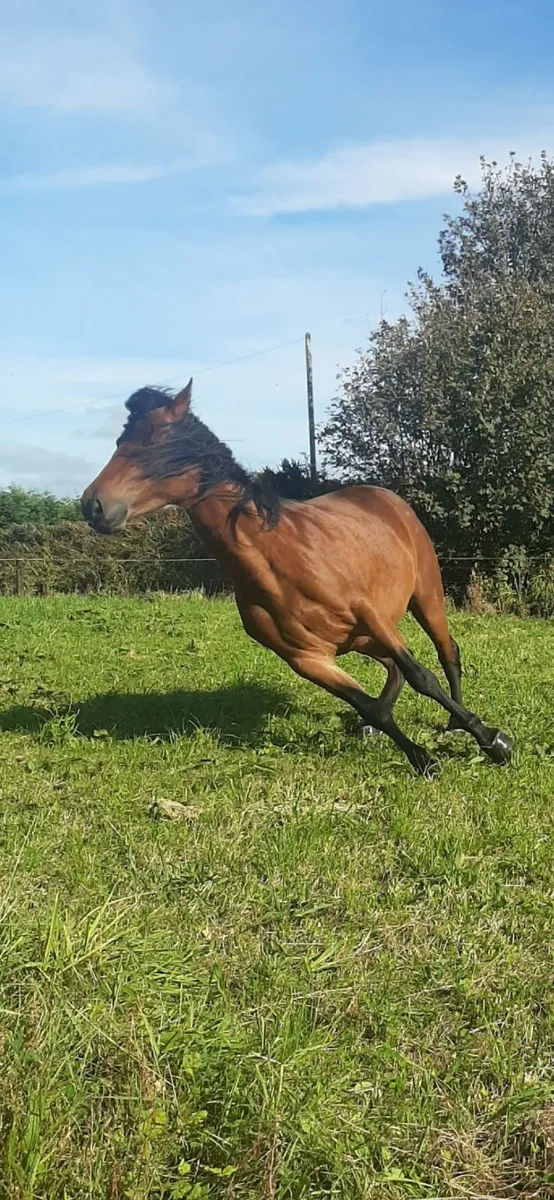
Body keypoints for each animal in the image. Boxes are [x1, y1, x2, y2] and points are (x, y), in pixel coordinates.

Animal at [81, 379, 512, 775]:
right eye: (120, 439)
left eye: (155, 441)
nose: (93, 506)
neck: (279, 560)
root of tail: (386, 497)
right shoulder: (306, 658)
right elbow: (370, 708)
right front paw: (421, 759)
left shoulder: (370, 615)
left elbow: (422, 677)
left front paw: (493, 741)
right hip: (357, 640)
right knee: (391, 671)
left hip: (421, 600)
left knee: (446, 651)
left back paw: (456, 723)